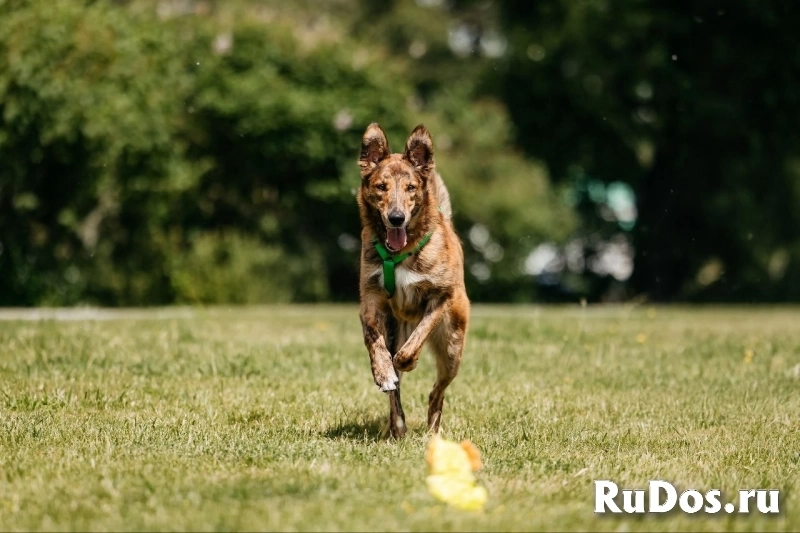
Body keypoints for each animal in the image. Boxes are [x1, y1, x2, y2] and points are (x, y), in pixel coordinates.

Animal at [356, 122, 468, 438]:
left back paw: (432, 428)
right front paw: (383, 372)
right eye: (381, 187)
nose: (396, 218)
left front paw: (407, 361)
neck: (401, 253)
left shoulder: (440, 298)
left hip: (453, 347)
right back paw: (397, 426)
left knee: (437, 392)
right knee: (397, 396)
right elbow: (373, 340)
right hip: (398, 329)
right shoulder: (370, 298)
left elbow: (416, 340)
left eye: (411, 188)